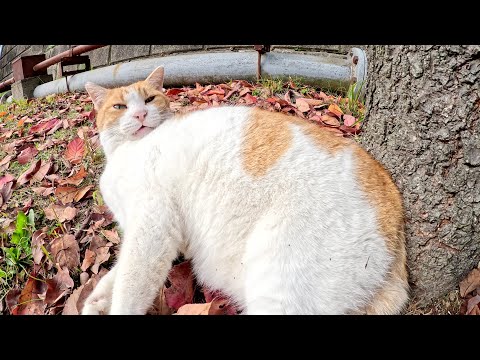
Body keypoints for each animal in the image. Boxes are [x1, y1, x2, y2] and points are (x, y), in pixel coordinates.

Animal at [81, 66, 408, 314]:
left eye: (149, 99)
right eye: (119, 107)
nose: (139, 115)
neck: (123, 154)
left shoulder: (152, 227)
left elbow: (130, 283)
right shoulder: (150, 233)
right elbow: (118, 272)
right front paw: (97, 299)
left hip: (280, 278)